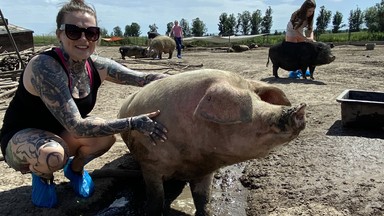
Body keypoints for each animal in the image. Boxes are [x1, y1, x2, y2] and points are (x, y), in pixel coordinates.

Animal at [118, 68, 308, 215]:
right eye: (252, 110)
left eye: (260, 99)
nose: (300, 108)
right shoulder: (150, 164)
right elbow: (156, 199)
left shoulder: (204, 169)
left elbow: (203, 199)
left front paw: (206, 212)